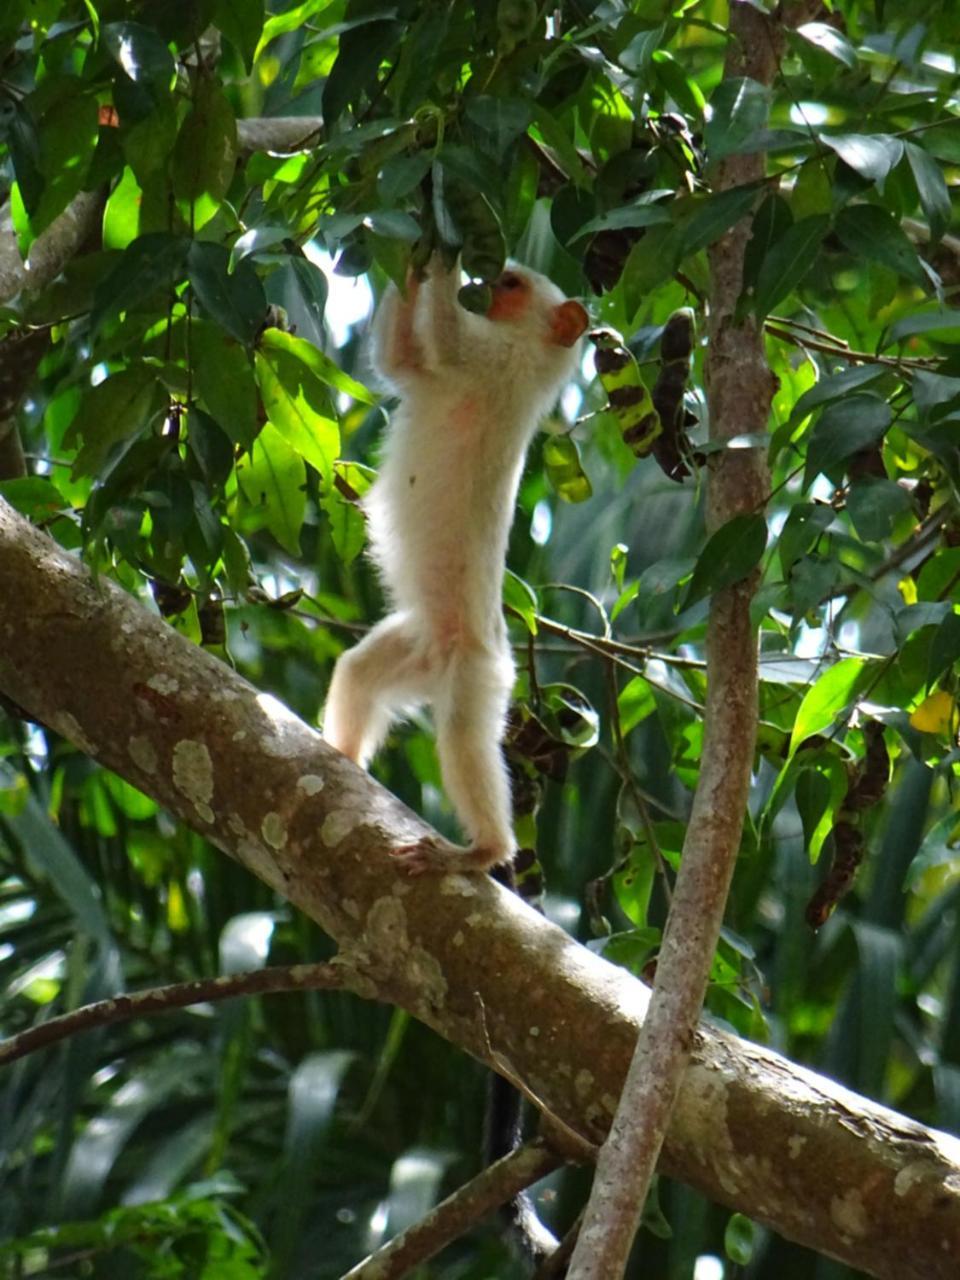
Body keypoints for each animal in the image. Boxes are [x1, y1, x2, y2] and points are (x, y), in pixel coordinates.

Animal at [327, 263, 591, 875]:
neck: (532, 351)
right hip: (417, 650)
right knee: (359, 672)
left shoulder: (494, 359)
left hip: (476, 674)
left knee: (464, 738)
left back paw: (481, 851)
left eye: (513, 284)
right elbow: (397, 355)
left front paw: (439, 252)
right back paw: (343, 756)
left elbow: (443, 337)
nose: (488, 279)